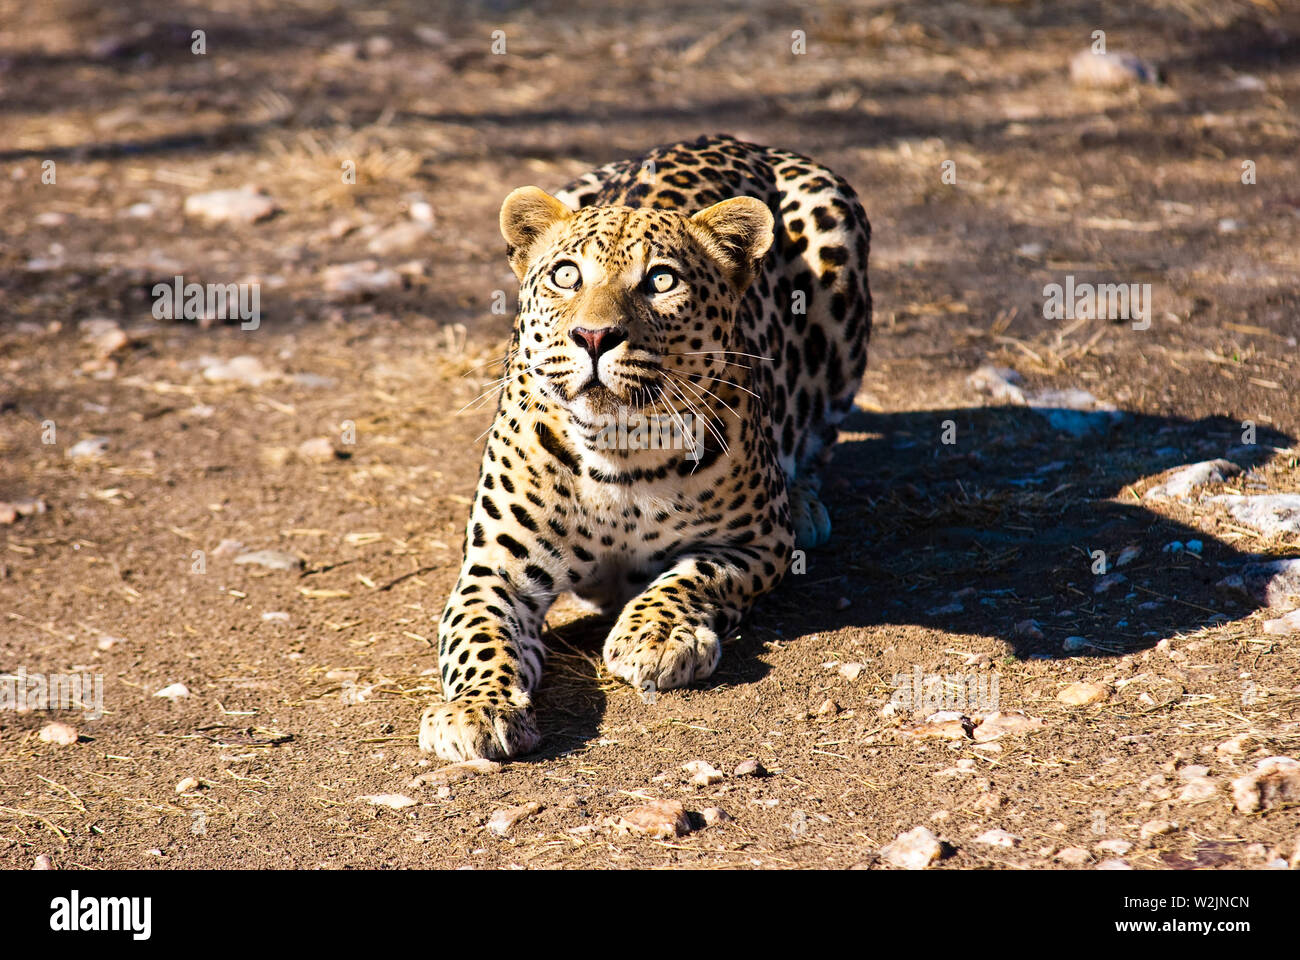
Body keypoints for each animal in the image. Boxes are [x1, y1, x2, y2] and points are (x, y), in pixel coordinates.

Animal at [418, 134, 872, 762]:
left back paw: (804, 501)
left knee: (821, 435)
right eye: (566, 276)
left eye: (661, 281)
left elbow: (690, 576)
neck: (617, 448)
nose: (593, 336)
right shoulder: (493, 570)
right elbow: (478, 637)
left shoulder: (756, 543)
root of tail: (730, 138)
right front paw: (477, 709)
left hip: (837, 239)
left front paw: (653, 639)